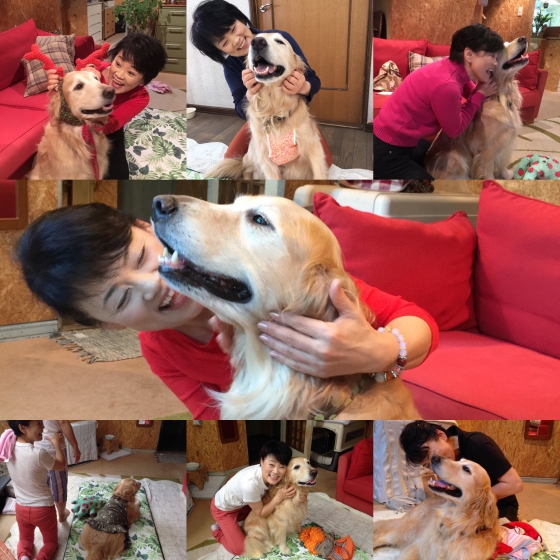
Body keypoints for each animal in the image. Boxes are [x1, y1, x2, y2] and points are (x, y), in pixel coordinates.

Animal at [205, 33, 328, 180]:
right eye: (254, 41)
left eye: (280, 41)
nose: (257, 42)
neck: (274, 105)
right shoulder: (266, 159)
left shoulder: (313, 148)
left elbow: (319, 175)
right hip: (252, 155)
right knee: (246, 170)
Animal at [425, 37, 529, 180]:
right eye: (501, 48)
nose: (523, 38)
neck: (500, 96)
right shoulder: (487, 149)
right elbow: (488, 169)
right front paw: (492, 181)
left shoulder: (506, 140)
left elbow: (503, 160)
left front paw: (506, 175)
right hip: (456, 159)